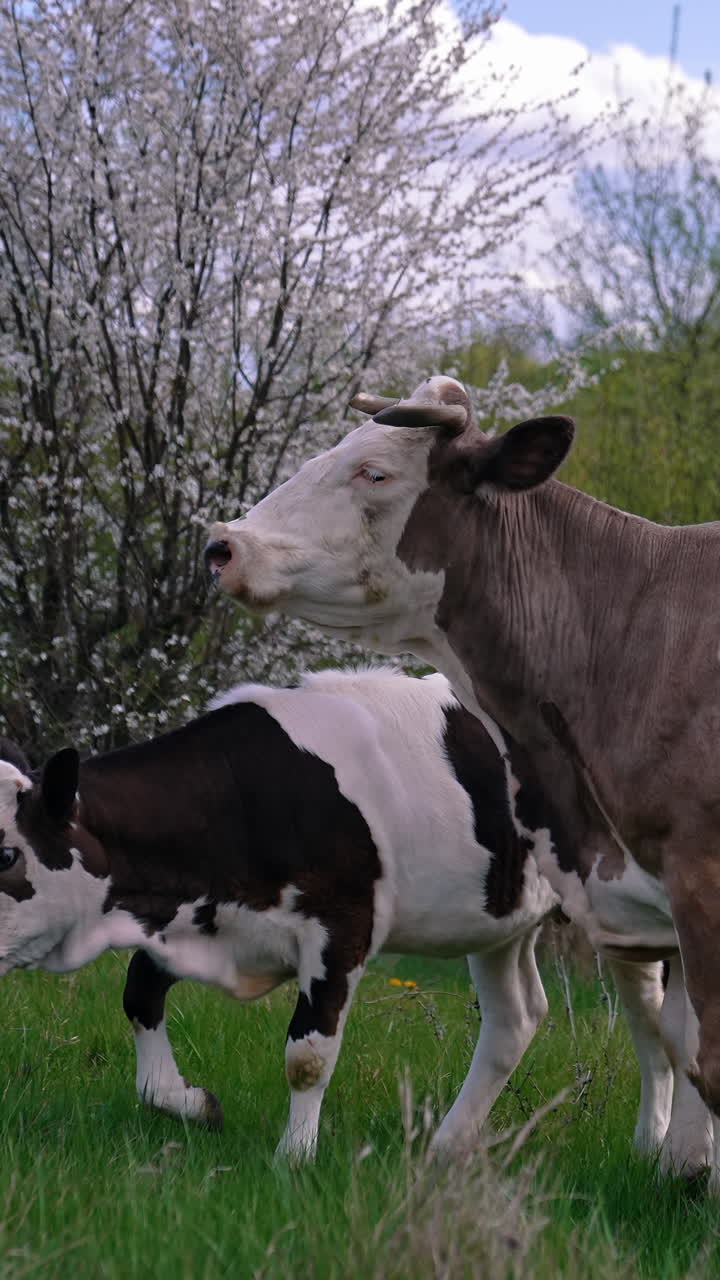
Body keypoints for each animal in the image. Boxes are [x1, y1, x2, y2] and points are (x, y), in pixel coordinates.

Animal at [0, 666, 571, 1162]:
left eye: (7, 855)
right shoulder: (204, 920)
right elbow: (140, 995)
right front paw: (194, 1103)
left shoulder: (342, 927)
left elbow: (308, 1054)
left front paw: (294, 1159)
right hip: (504, 924)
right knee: (514, 1017)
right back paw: (447, 1148)